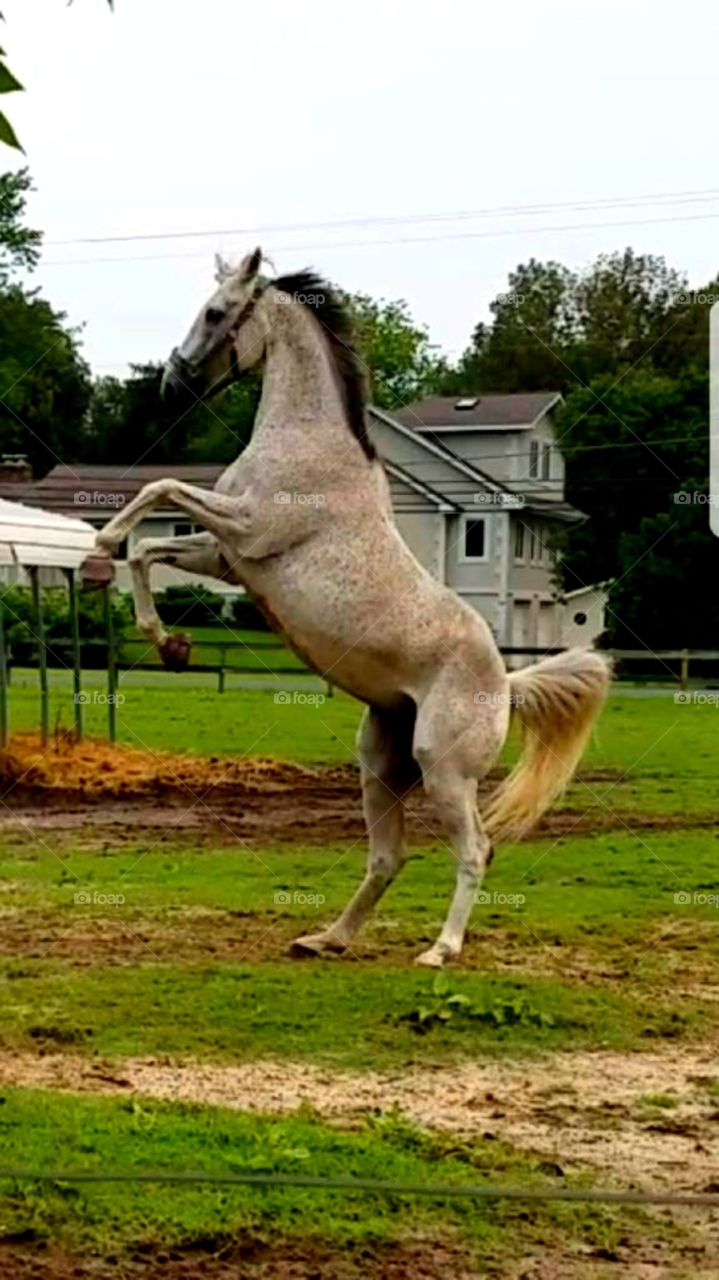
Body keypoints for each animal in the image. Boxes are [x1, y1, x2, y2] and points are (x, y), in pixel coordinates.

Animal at [83, 248, 611, 967]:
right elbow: (149, 550)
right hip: (381, 766)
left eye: (216, 313)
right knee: (389, 856)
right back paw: (326, 938)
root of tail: (506, 683)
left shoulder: (246, 528)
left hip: (444, 772)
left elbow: (158, 491)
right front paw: (169, 644)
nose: (172, 381)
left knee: (475, 850)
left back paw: (440, 950)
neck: (307, 440)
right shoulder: (229, 557)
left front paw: (100, 546)